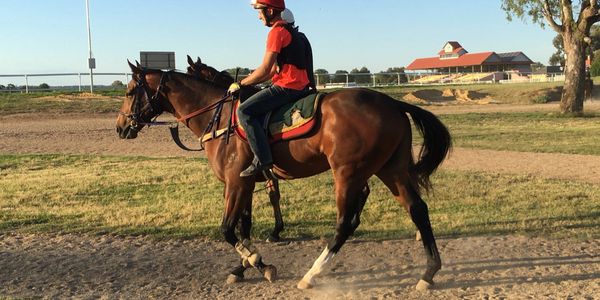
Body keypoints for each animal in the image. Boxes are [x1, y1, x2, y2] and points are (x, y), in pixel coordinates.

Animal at [116, 61, 450, 290]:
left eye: (131, 91)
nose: (121, 127)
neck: (221, 118)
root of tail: (392, 102)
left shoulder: (237, 183)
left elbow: (228, 229)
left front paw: (257, 262)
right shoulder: (246, 183)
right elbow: (244, 226)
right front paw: (245, 266)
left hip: (348, 174)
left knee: (345, 222)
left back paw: (312, 274)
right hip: (390, 169)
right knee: (417, 209)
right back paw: (429, 271)